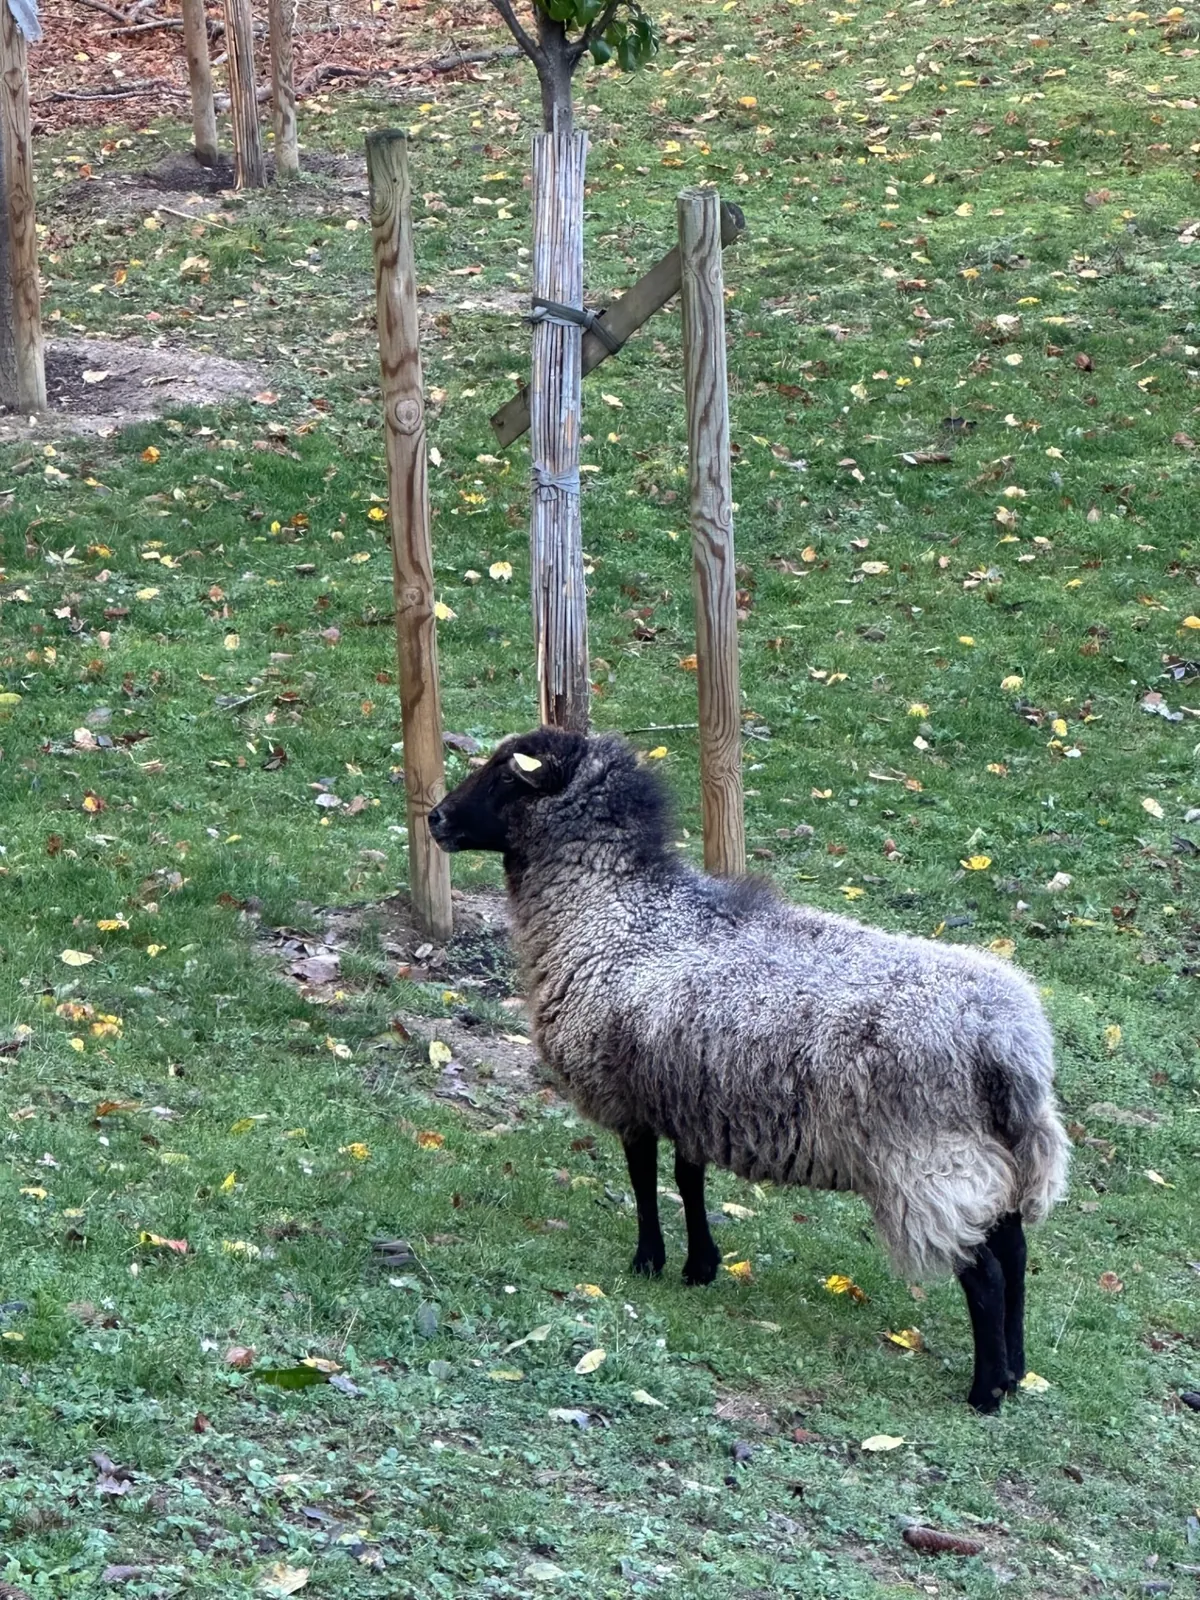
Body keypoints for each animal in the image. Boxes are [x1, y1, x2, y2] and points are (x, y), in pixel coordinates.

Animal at [429, 727, 1070, 1412]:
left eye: (506, 775)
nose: (436, 818)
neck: (615, 911)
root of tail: (1007, 1040)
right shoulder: (688, 1097)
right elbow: (688, 1180)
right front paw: (700, 1266)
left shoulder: (631, 1097)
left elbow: (642, 1179)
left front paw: (648, 1262)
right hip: (998, 1149)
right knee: (1014, 1249)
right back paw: (1016, 1371)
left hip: (929, 1161)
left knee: (986, 1271)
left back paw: (985, 1391)